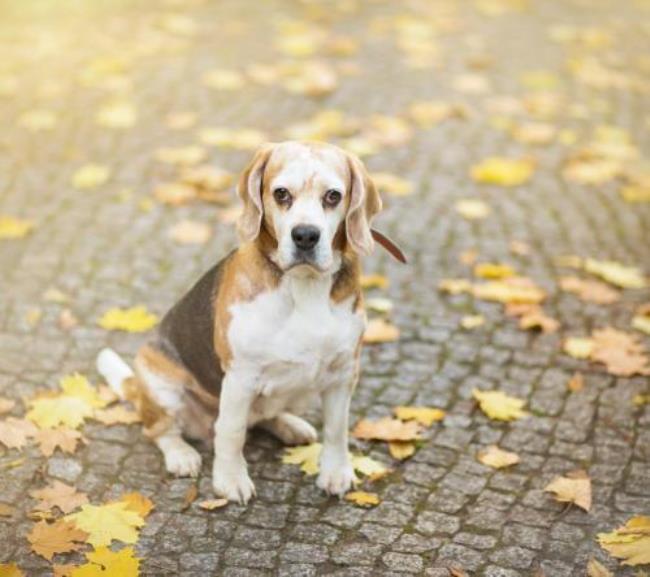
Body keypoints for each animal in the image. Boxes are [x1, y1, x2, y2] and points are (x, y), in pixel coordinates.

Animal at [97, 142, 402, 502]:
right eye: (281, 193)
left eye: (333, 196)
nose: (305, 236)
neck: (304, 286)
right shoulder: (241, 376)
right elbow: (230, 432)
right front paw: (230, 480)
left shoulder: (343, 374)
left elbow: (336, 430)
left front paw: (336, 472)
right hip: (161, 387)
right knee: (161, 430)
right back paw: (181, 454)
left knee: (263, 416)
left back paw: (290, 425)